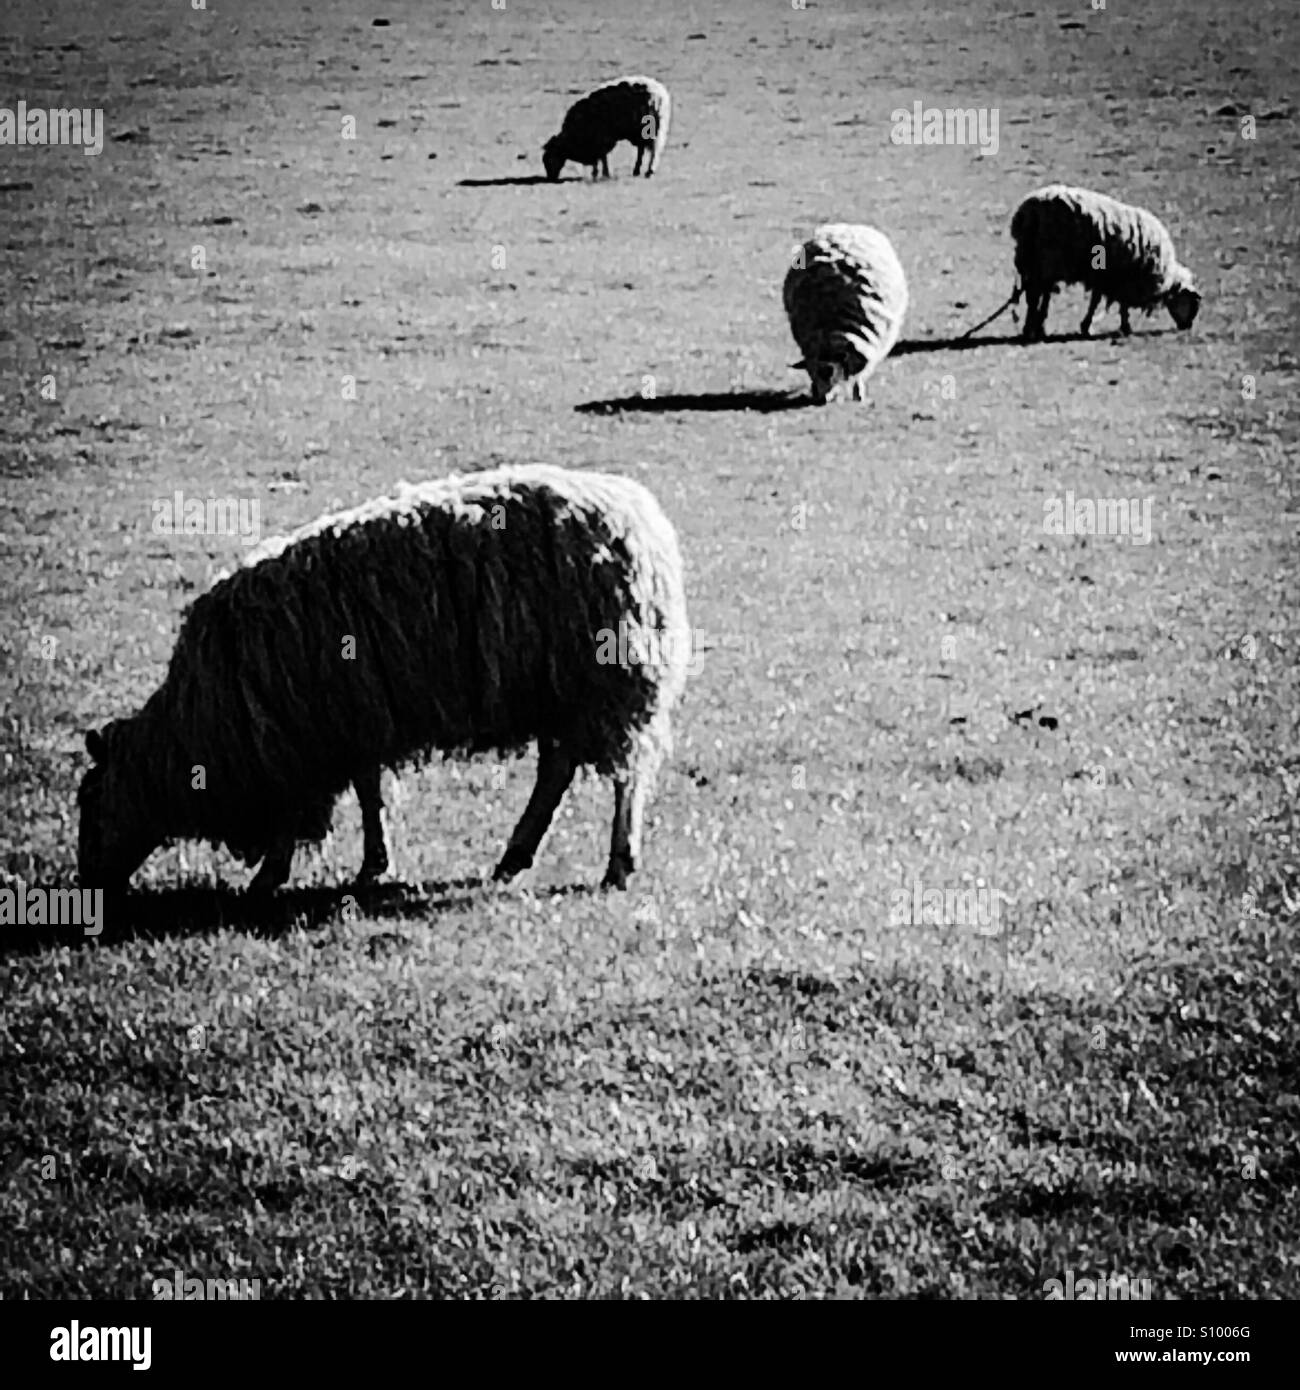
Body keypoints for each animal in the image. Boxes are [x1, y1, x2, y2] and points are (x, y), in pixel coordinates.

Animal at [77, 465, 691, 894]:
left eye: (94, 803)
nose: (88, 889)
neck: (199, 727)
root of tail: (641, 518)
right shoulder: (353, 727)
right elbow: (369, 792)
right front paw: (373, 863)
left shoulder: (299, 745)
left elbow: (304, 814)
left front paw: (270, 876)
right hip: (562, 692)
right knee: (557, 771)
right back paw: (514, 856)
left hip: (607, 684)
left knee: (626, 778)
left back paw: (618, 863)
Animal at [542, 75, 671, 181]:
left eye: (549, 158)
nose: (551, 178)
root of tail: (659, 95)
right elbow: (601, 158)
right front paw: (599, 173)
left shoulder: (601, 140)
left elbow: (601, 158)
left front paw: (603, 174)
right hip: (642, 131)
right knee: (642, 150)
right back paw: (636, 171)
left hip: (650, 129)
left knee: (653, 151)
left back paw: (649, 171)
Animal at [783, 223, 909, 405]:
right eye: (811, 373)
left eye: (830, 372)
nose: (822, 399)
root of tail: (847, 226)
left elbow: (859, 375)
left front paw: (859, 394)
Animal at [1010, 184, 1201, 341]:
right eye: (1193, 304)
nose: (1187, 327)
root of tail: (1029, 210)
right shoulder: (1123, 277)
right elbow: (1118, 304)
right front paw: (1123, 327)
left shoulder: (1106, 277)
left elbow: (1098, 300)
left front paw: (1088, 326)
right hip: (1048, 258)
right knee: (1037, 295)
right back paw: (1034, 330)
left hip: (1033, 259)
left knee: (1036, 294)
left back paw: (1033, 329)